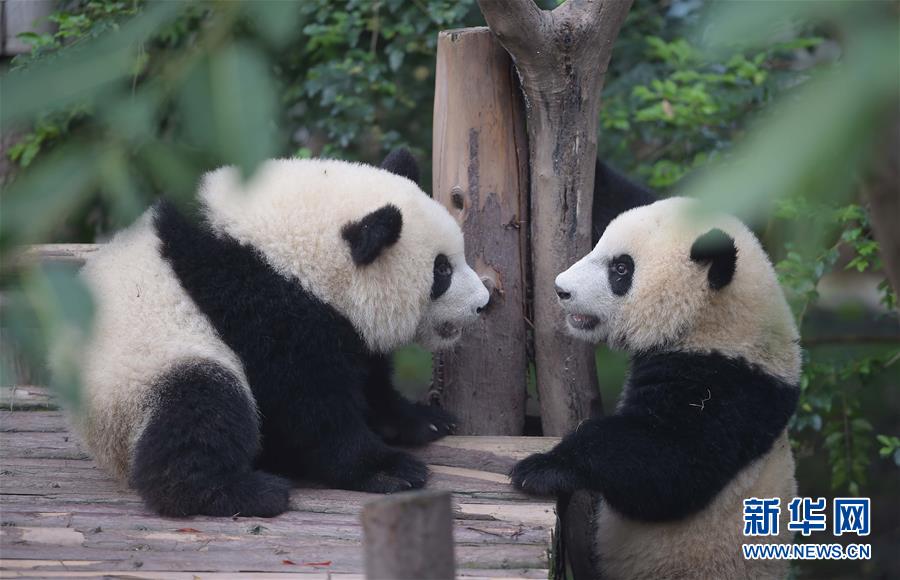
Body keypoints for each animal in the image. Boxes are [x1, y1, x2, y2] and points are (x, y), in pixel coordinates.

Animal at [74, 148, 488, 516]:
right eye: (442, 271)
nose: (482, 302)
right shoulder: (258, 302)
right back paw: (242, 493)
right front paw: (387, 470)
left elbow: (368, 378)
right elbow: (305, 403)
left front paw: (423, 419)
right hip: (143, 374)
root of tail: (104, 447)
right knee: (203, 406)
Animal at [510, 162, 800, 580]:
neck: (715, 321)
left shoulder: (728, 388)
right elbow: (615, 194)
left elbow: (667, 463)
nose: (561, 289)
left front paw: (544, 466)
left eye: (620, 269)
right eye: (597, 244)